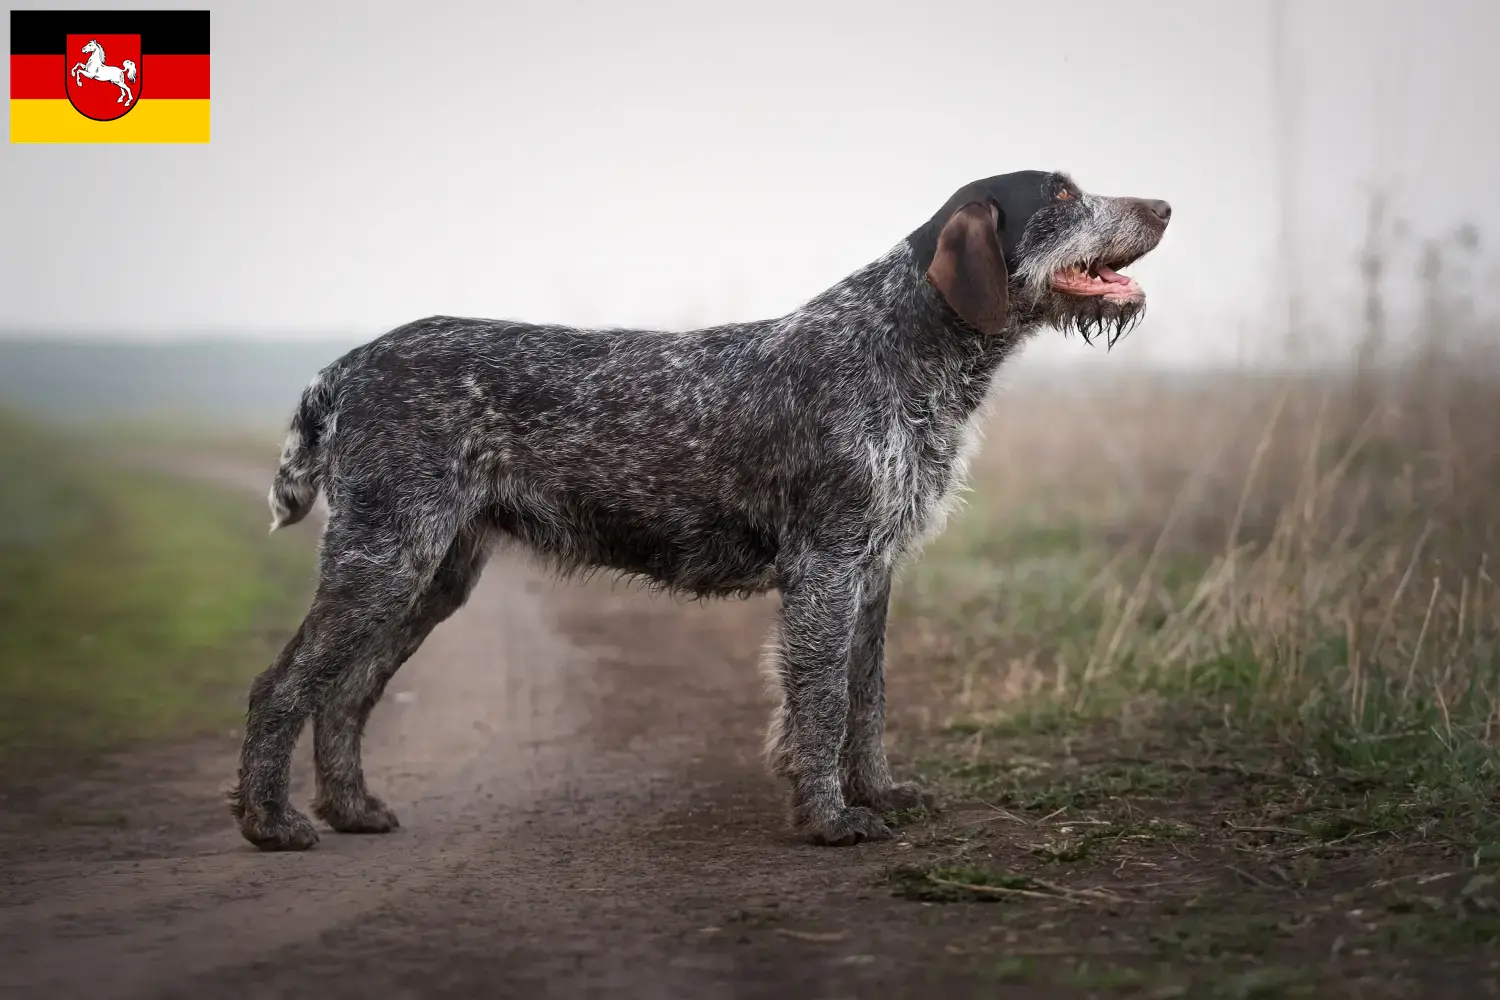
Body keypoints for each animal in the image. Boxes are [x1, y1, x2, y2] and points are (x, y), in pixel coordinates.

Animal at [231, 170, 1170, 851]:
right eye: (1060, 196)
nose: (1164, 205)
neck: (907, 344)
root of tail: (350, 363)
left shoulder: (874, 573)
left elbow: (865, 701)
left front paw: (879, 793)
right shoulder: (826, 568)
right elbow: (821, 704)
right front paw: (829, 819)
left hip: (431, 575)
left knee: (344, 693)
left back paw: (352, 810)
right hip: (384, 560)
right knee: (282, 687)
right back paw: (271, 823)